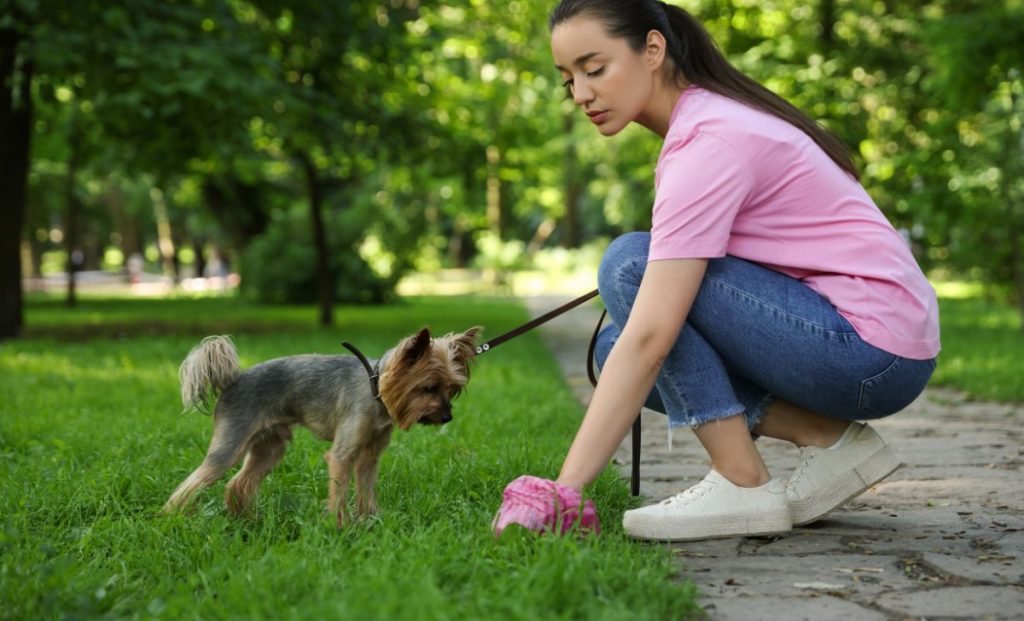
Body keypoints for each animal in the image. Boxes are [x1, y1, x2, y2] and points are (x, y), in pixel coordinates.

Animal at [161, 327, 481, 528]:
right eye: (428, 388)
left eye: (452, 389)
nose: (447, 417)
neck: (375, 386)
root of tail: (232, 380)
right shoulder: (343, 453)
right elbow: (338, 491)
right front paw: (340, 527)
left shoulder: (370, 454)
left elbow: (366, 487)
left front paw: (370, 519)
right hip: (231, 444)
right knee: (193, 483)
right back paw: (171, 517)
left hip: (270, 447)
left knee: (239, 483)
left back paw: (246, 520)